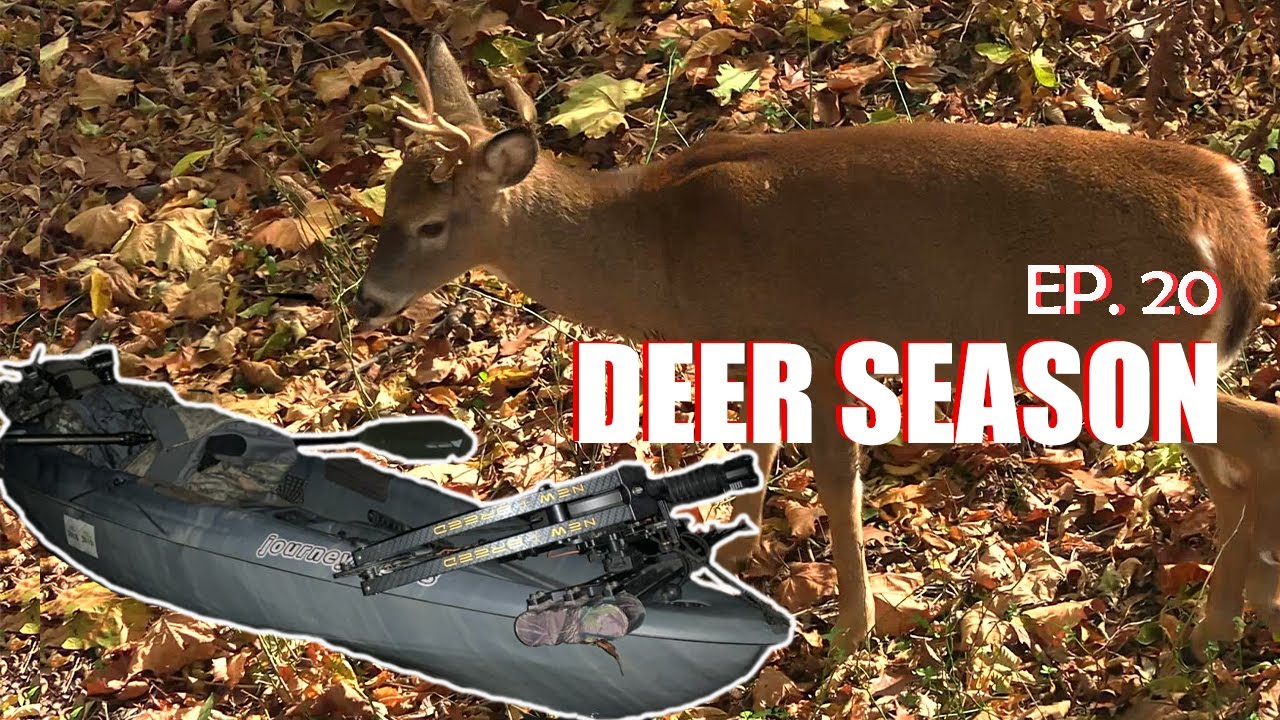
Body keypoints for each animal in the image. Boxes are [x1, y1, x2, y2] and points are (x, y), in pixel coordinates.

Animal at [351, 28, 1279, 656]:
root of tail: (1235, 221)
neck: (662, 248)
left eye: (431, 224)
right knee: (1238, 461)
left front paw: (851, 630)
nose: (365, 301)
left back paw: (1217, 621)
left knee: (1246, 454)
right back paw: (1247, 606)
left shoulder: (820, 332)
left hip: (1127, 344)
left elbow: (836, 477)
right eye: (386, 202)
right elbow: (758, 442)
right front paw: (742, 542)